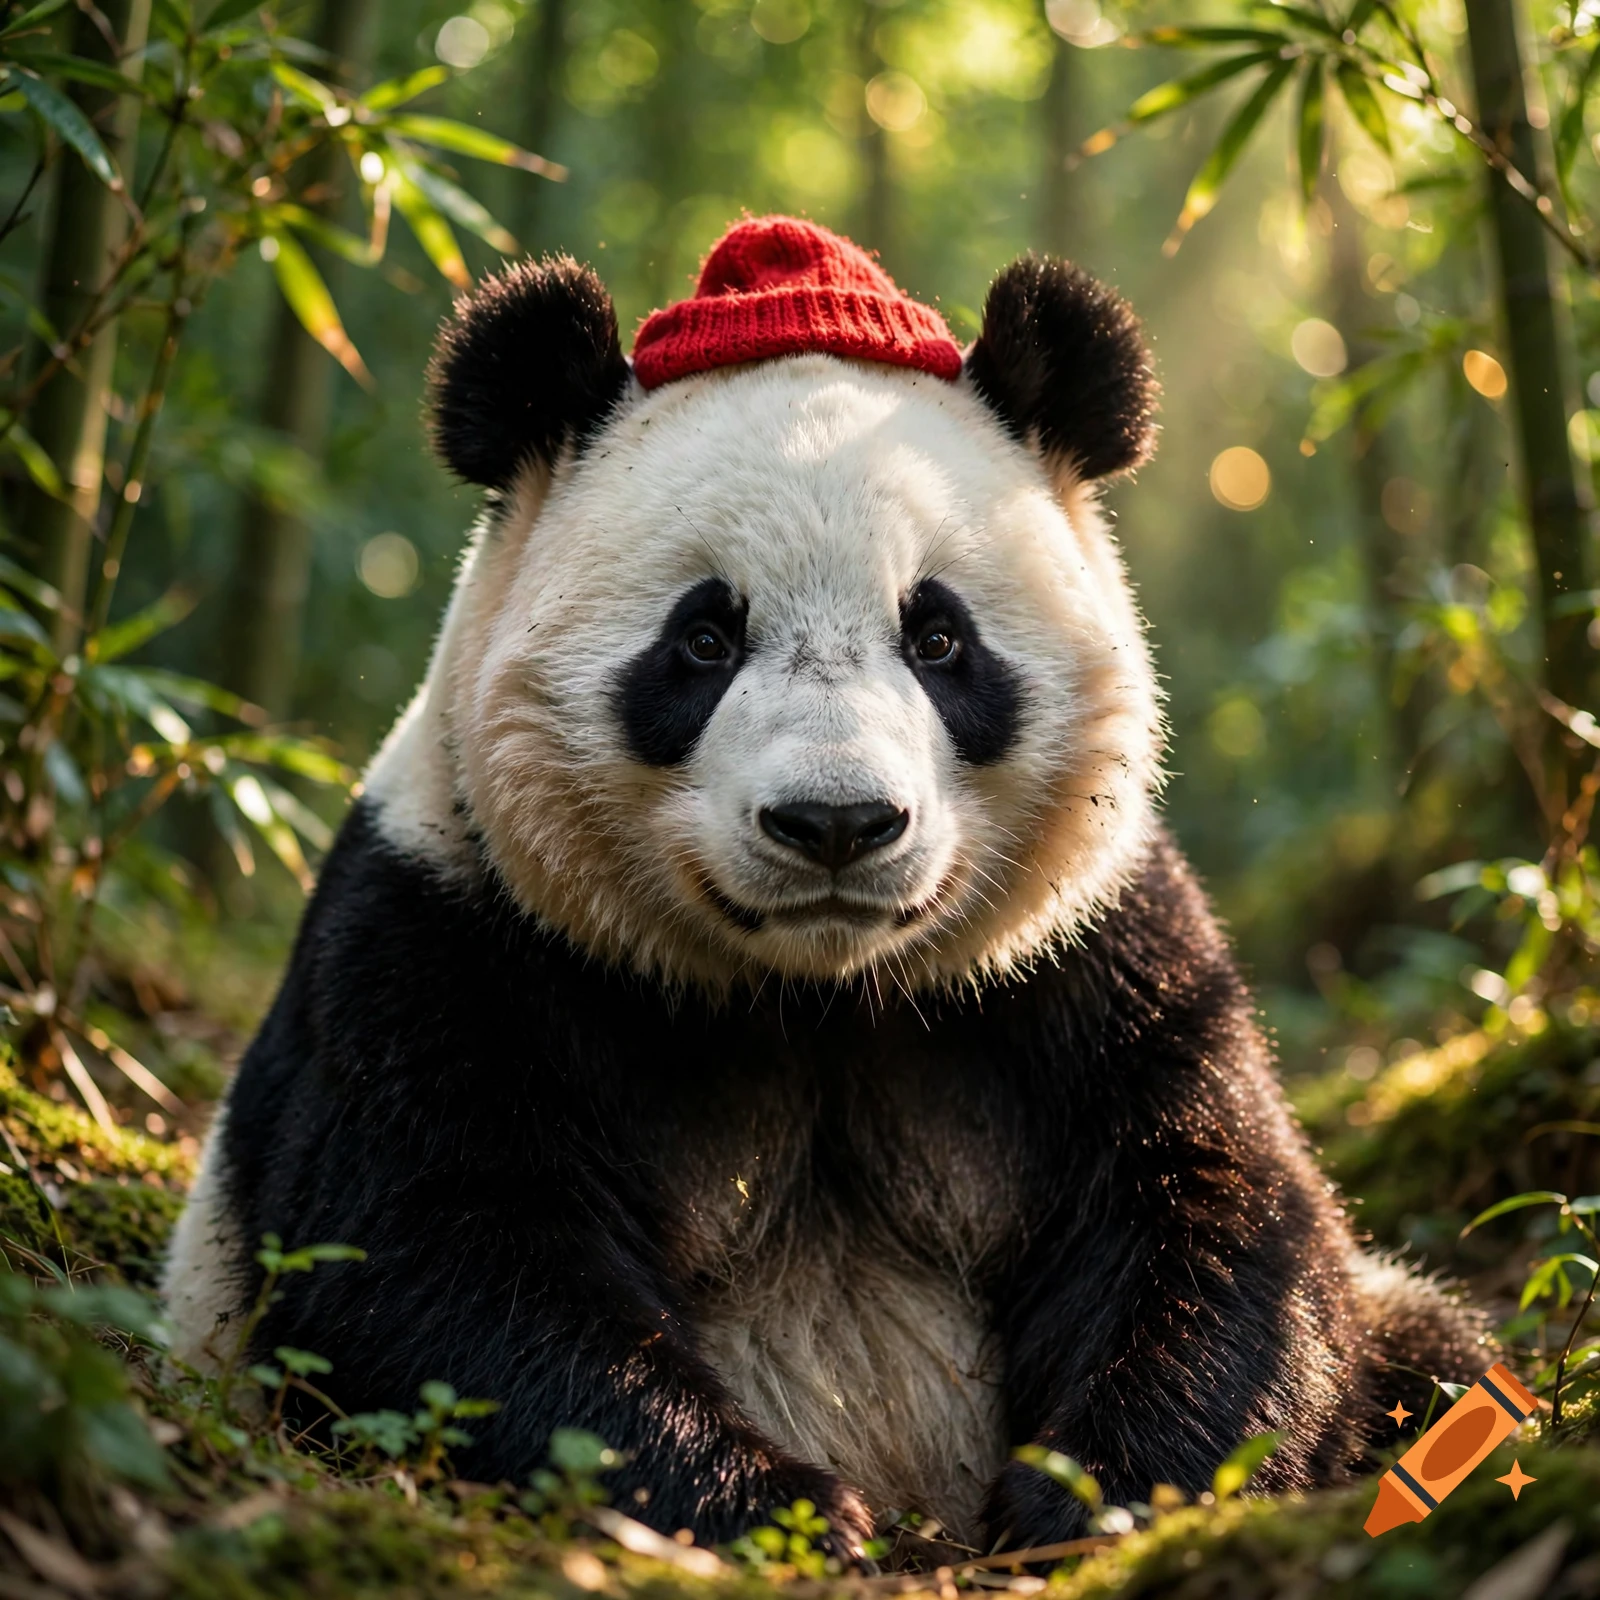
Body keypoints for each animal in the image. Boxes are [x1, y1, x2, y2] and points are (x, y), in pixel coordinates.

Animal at [164, 215, 1479, 1557]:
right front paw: (774, 1504)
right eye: (703, 639)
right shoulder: (450, 937)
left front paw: (1094, 1497)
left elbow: (1214, 1209)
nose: (837, 822)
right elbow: (429, 1255)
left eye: (938, 637)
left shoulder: (1093, 957)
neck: (814, 995)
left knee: (1429, 1341)